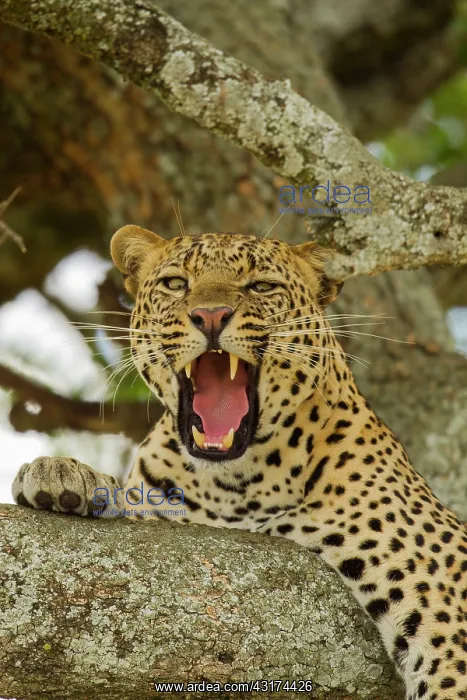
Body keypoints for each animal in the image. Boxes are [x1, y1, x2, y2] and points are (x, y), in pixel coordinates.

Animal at [12, 226, 467, 700]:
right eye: (175, 283)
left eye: (261, 286)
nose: (210, 316)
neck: (233, 482)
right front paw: (60, 476)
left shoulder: (446, 595)